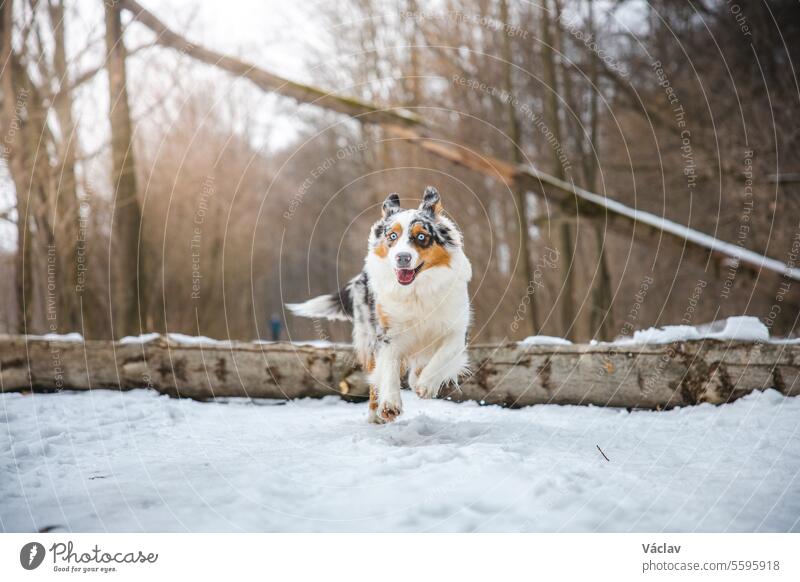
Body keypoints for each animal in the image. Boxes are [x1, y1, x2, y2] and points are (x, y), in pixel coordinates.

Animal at [288, 187, 472, 424]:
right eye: (392, 236)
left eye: (421, 237)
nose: (402, 258)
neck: (416, 291)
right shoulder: (386, 334)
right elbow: (389, 369)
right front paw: (390, 405)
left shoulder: (456, 330)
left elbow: (443, 357)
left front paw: (425, 385)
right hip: (367, 335)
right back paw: (374, 415)